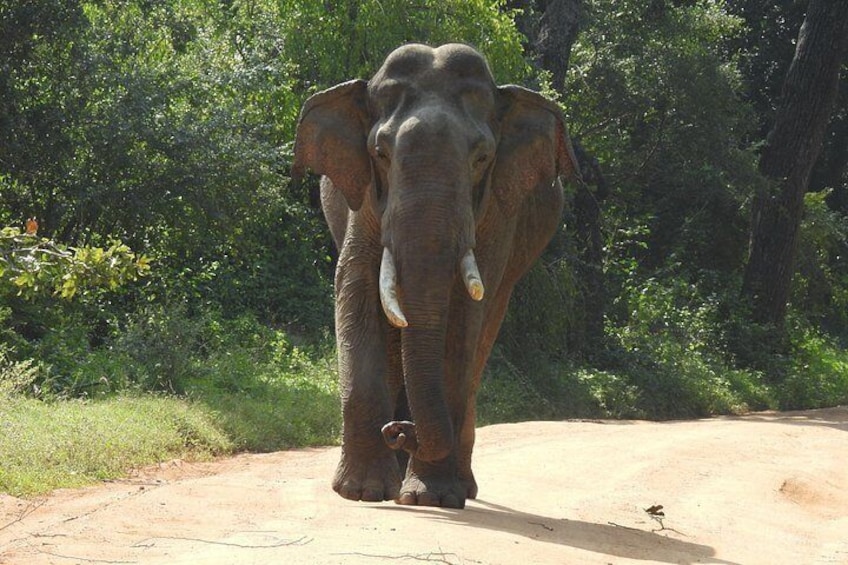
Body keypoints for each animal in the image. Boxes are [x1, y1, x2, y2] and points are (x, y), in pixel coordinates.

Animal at [293, 43, 581, 509]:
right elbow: (355, 288)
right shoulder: (364, 201)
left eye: (482, 158)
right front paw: (361, 492)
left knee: (484, 335)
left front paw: (433, 498)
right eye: (380, 154)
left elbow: (464, 315)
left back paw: (455, 485)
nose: (400, 432)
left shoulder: (496, 213)